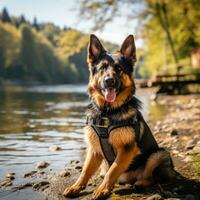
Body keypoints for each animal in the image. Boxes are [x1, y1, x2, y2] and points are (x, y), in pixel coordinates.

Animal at [63, 35, 177, 199]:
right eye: (102, 68)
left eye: (119, 69)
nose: (109, 81)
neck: (107, 112)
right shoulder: (94, 150)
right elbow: (85, 171)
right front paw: (76, 187)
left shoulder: (127, 149)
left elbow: (113, 170)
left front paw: (102, 190)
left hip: (159, 154)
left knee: (152, 177)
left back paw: (141, 183)